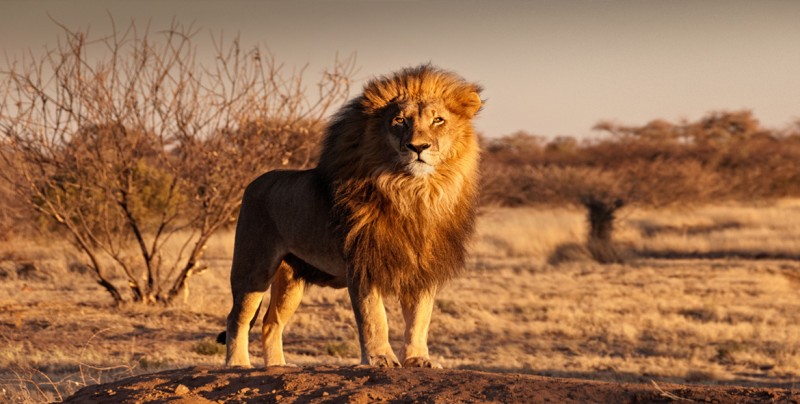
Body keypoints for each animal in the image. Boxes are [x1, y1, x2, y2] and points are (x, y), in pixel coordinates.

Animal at [222, 64, 482, 370]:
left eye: (438, 120)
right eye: (400, 120)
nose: (418, 147)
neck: (413, 193)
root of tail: (254, 182)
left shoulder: (423, 267)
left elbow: (420, 319)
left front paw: (418, 359)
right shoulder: (362, 262)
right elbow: (374, 317)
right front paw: (381, 358)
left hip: (290, 279)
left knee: (270, 322)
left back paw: (278, 367)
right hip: (254, 267)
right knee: (237, 317)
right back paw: (238, 364)